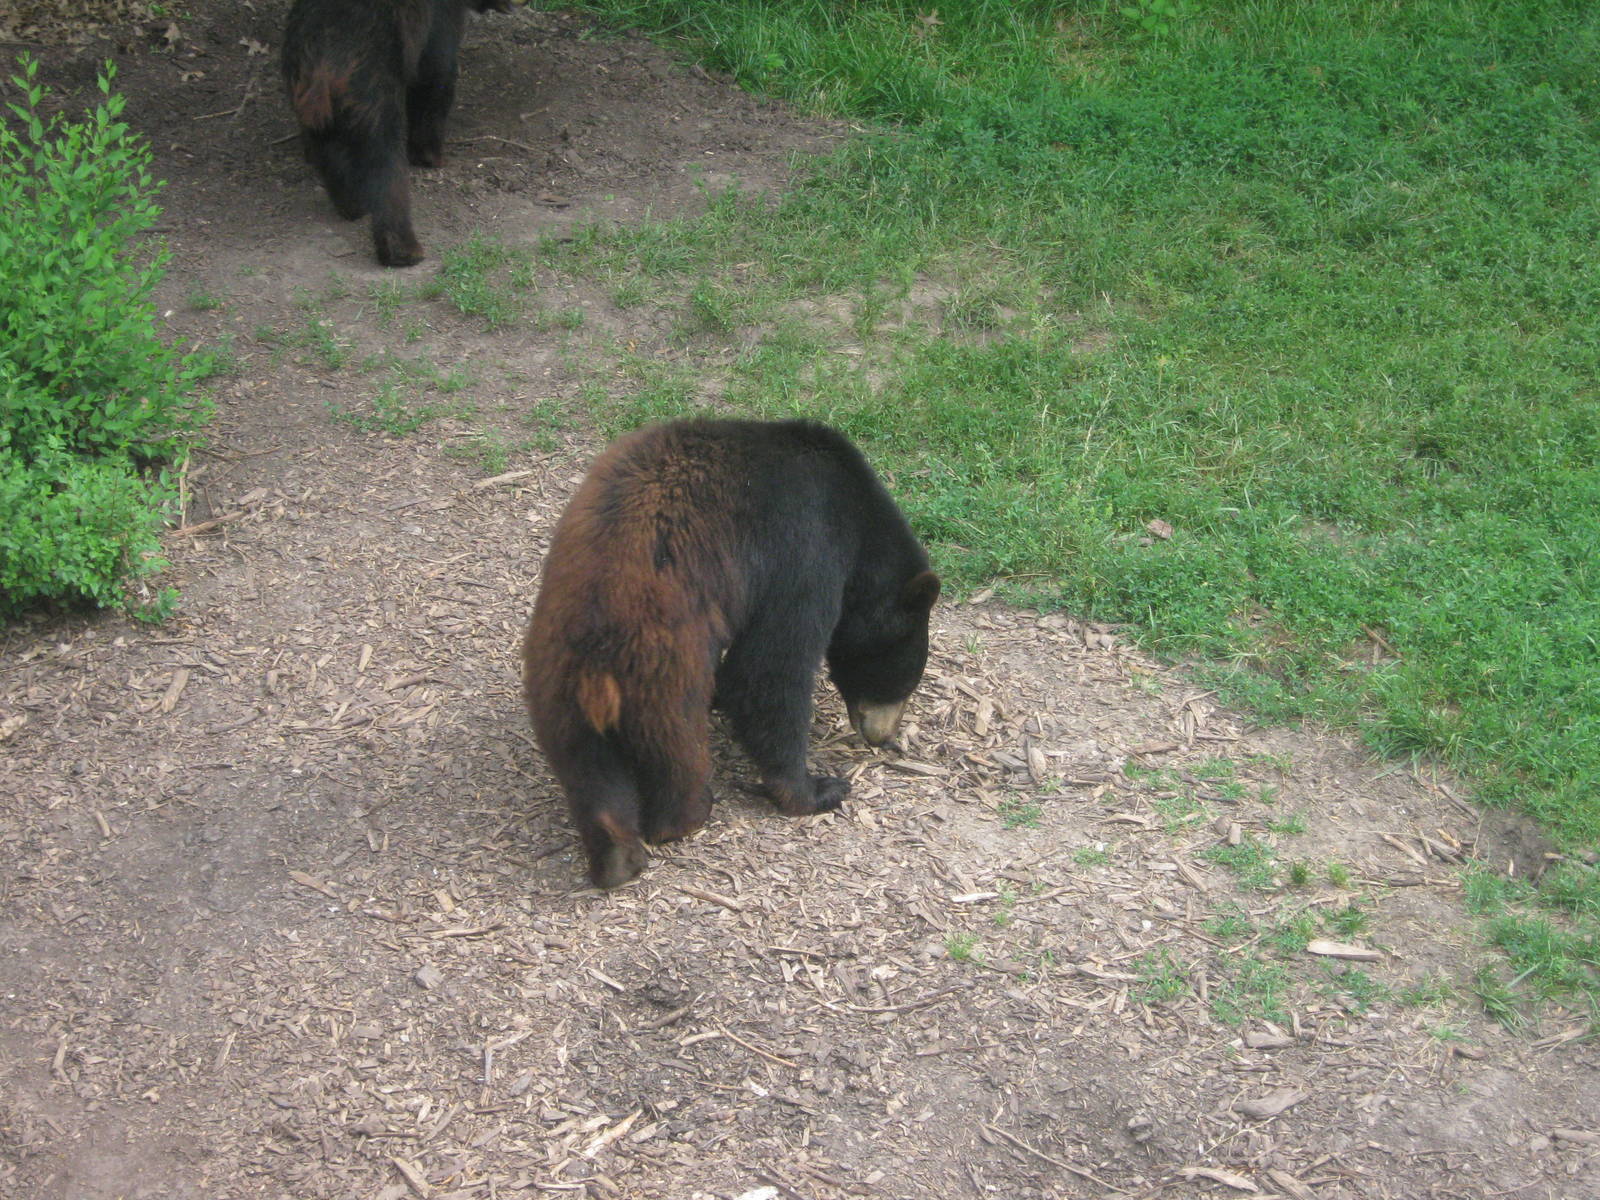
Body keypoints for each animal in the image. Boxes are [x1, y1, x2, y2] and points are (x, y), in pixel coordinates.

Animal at [281, 0, 510, 268]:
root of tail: (323, 58)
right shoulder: (441, 17)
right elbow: (435, 74)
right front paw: (429, 155)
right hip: (371, 88)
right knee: (386, 163)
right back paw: (403, 250)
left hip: (311, 103)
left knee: (329, 152)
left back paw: (352, 206)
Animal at [522, 419, 941, 889]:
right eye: (902, 679)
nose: (882, 737)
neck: (853, 508)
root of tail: (595, 669)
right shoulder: (805, 546)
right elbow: (769, 667)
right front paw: (816, 788)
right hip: (665, 672)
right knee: (677, 751)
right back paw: (687, 815)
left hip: (555, 691)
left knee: (589, 773)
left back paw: (616, 857)